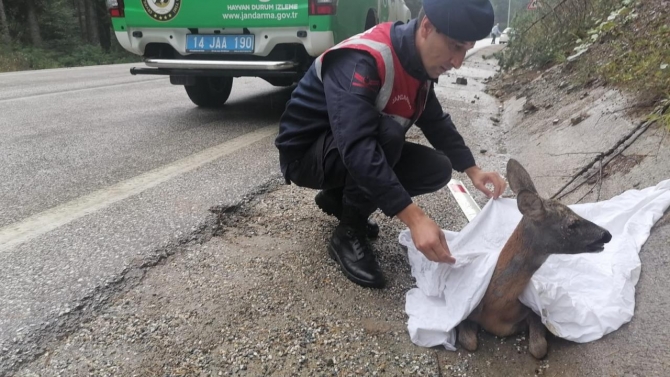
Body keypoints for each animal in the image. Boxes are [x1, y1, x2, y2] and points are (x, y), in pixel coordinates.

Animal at [460, 159, 612, 358]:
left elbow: (538, 348)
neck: (497, 310)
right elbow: (468, 342)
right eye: (572, 224)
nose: (607, 234)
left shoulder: (533, 312)